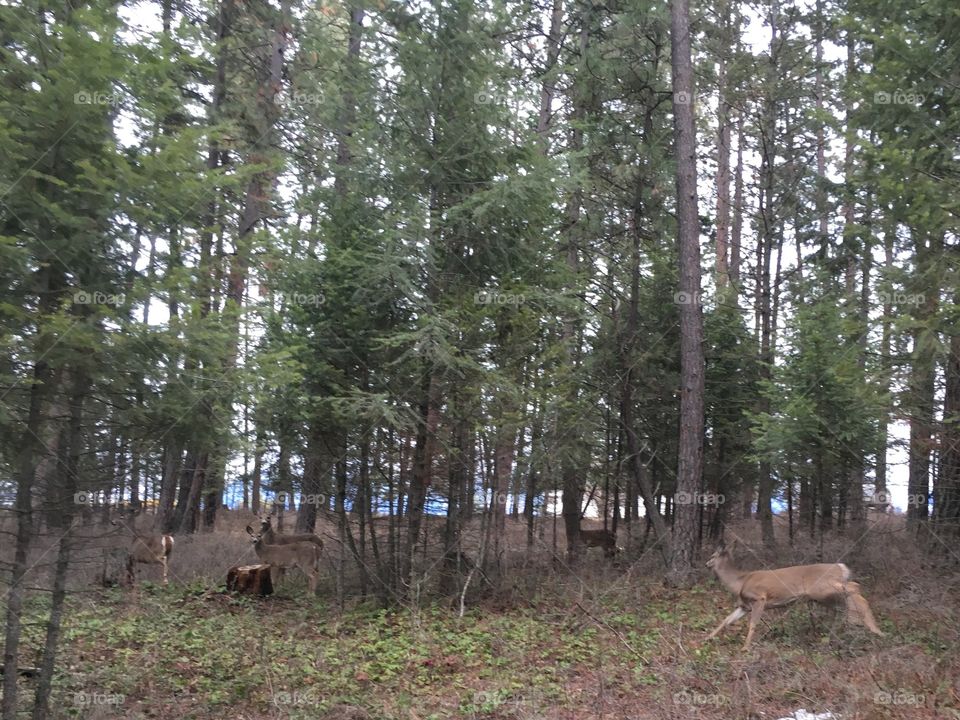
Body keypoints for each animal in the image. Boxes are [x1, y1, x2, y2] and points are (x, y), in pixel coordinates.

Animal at [704, 539, 884, 650]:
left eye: (713, 555)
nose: (706, 563)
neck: (740, 581)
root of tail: (840, 567)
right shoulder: (744, 606)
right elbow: (726, 620)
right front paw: (707, 638)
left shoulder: (760, 598)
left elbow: (753, 623)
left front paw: (745, 648)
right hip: (825, 597)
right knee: (843, 603)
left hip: (821, 588)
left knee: (854, 587)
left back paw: (872, 628)